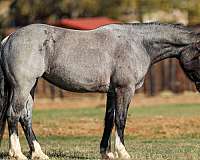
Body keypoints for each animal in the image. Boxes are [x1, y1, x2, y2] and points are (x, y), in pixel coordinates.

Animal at [0, 22, 199, 160]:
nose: (199, 86)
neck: (138, 44)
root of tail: (8, 39)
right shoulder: (124, 89)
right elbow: (120, 120)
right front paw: (122, 152)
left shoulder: (112, 92)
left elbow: (109, 120)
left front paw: (107, 153)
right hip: (22, 86)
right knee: (13, 115)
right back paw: (17, 153)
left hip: (31, 87)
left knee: (26, 117)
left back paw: (38, 153)